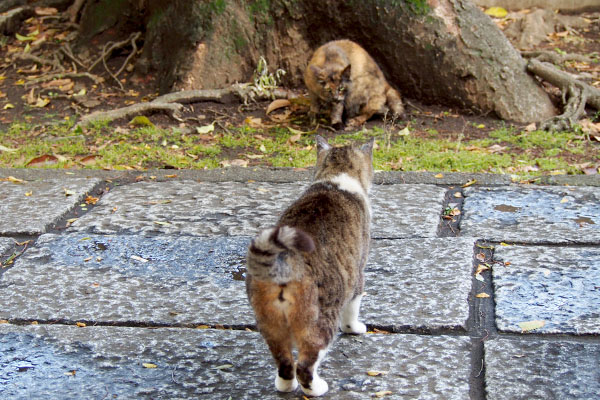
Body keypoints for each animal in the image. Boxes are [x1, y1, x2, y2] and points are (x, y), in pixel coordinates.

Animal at [246, 135, 372, 396]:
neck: (334, 179)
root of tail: (285, 260)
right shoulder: (358, 277)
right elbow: (352, 312)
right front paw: (355, 328)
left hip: (270, 324)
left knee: (285, 363)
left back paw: (285, 386)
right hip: (320, 319)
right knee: (305, 364)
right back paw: (316, 388)